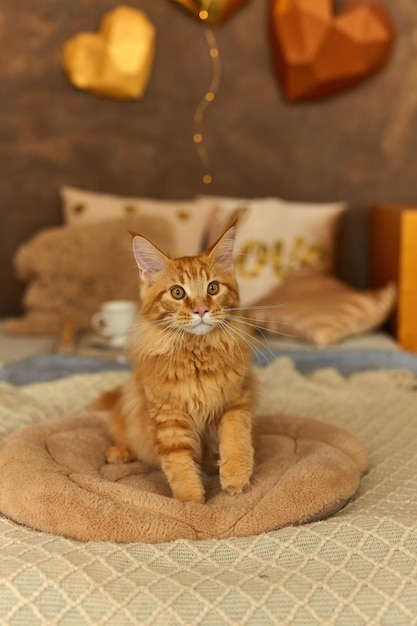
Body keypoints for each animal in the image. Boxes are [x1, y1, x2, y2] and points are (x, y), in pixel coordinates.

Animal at [98, 224, 254, 502]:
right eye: (177, 292)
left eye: (213, 288)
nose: (201, 310)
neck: (196, 354)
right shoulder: (169, 417)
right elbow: (180, 467)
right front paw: (191, 503)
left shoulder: (236, 401)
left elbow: (236, 438)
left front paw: (235, 478)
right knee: (124, 434)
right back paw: (120, 452)